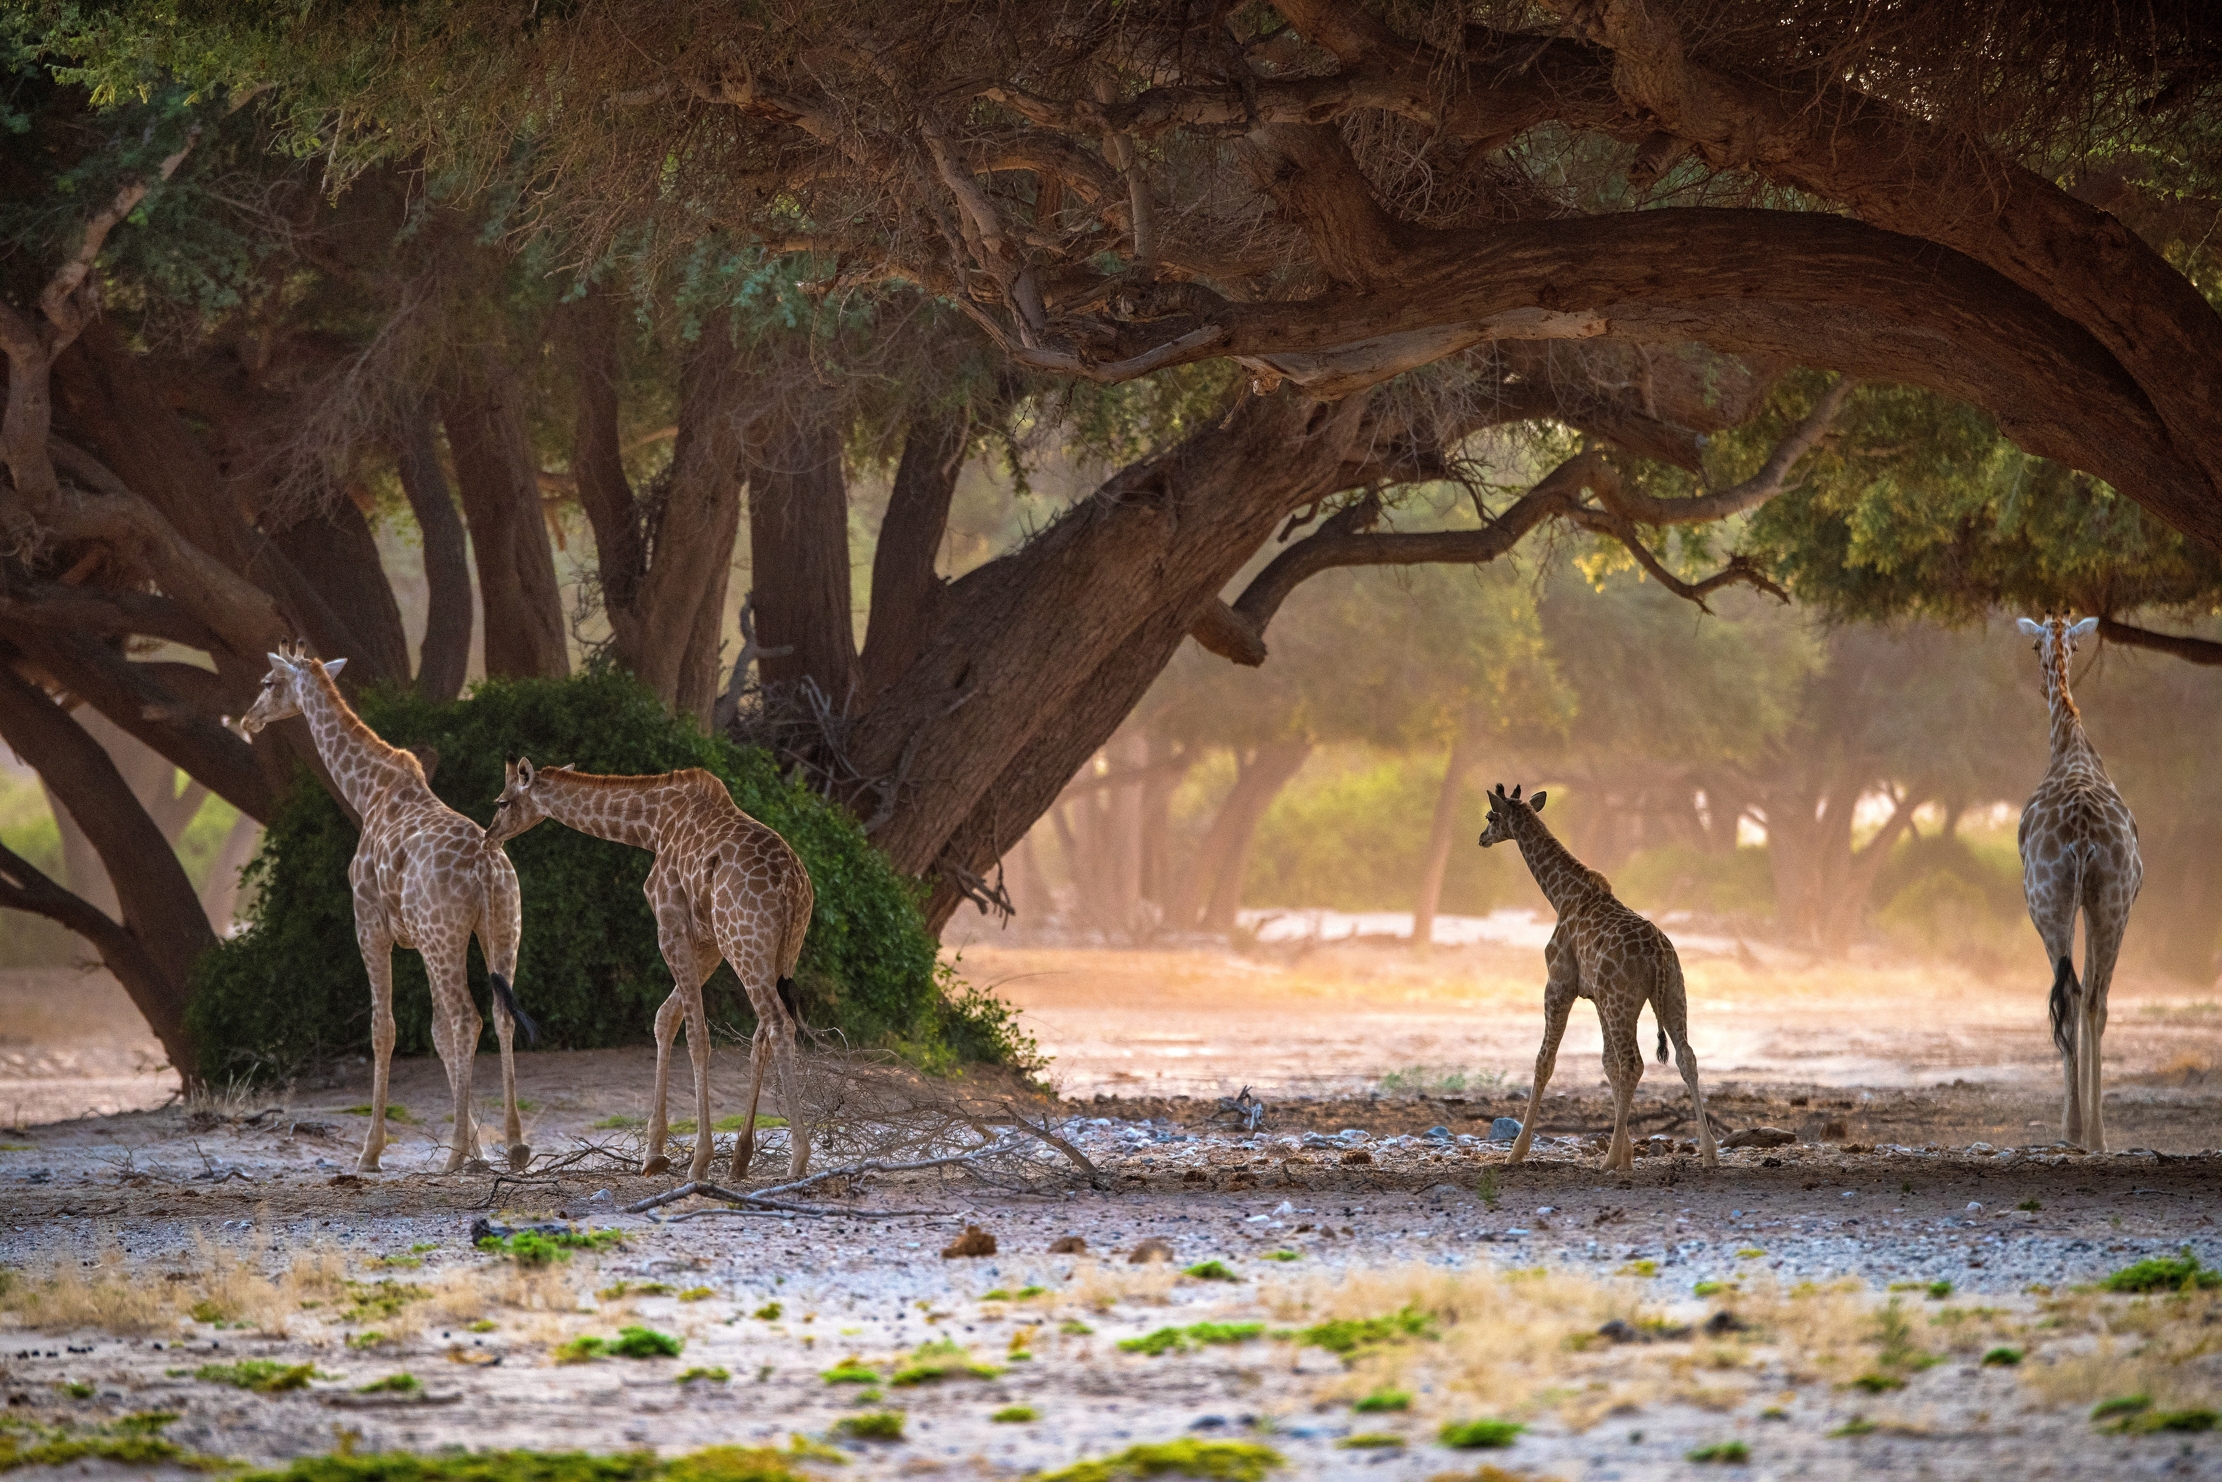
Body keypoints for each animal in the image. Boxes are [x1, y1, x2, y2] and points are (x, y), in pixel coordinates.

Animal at [235, 643, 535, 1174]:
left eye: (269, 682)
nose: (250, 718)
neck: (368, 791)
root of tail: (486, 869)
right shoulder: (417, 938)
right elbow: (435, 1032)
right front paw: (479, 1147)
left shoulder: (370, 924)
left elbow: (385, 1029)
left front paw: (370, 1152)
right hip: (500, 927)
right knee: (500, 1014)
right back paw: (515, 1147)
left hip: (446, 936)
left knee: (468, 1018)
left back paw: (451, 1157)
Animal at [485, 758, 815, 1181]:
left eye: (503, 801)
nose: (489, 836)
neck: (652, 826)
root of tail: (791, 885)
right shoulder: (708, 940)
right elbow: (666, 1018)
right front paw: (655, 1154)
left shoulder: (672, 924)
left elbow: (696, 1034)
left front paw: (699, 1160)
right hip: (779, 949)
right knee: (764, 1030)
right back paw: (741, 1159)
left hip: (745, 942)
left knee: (777, 1023)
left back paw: (798, 1158)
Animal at [1478, 784, 1718, 1173]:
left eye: (1490, 815)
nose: (1481, 837)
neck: (1561, 895)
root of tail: (1658, 955)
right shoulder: (1596, 997)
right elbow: (1607, 1064)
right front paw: (1628, 1153)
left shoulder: (1559, 985)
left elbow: (1545, 1061)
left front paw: (1517, 1151)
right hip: (1672, 994)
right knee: (1685, 1057)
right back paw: (1709, 1152)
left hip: (1623, 1001)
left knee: (1635, 1062)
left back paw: (1606, 1161)